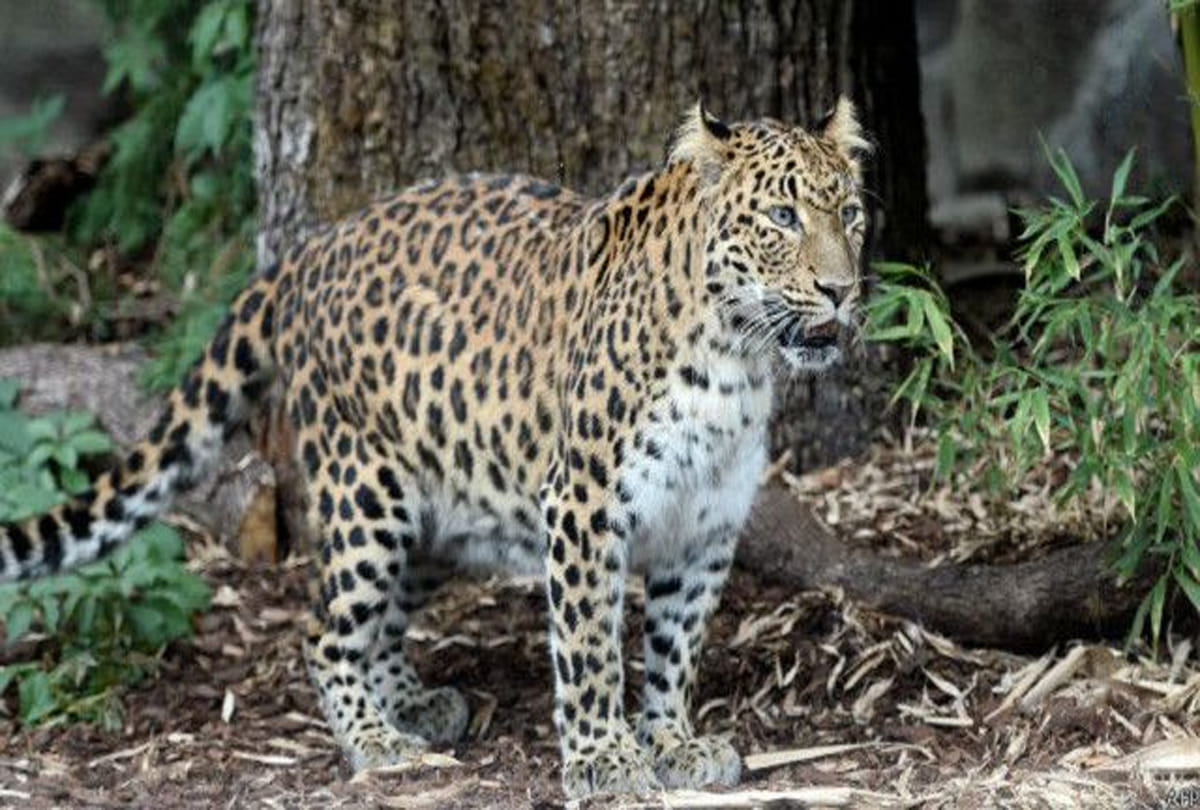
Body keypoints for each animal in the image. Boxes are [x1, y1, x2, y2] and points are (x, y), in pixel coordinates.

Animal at [0, 100, 869, 798]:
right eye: (782, 218)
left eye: (852, 214)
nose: (842, 290)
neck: (735, 360)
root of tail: (309, 251)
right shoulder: (584, 504)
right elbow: (590, 644)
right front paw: (604, 759)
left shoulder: (707, 522)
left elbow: (675, 645)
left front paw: (674, 742)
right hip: (364, 494)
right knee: (323, 630)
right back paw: (378, 743)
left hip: (436, 512)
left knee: (382, 621)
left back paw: (415, 706)